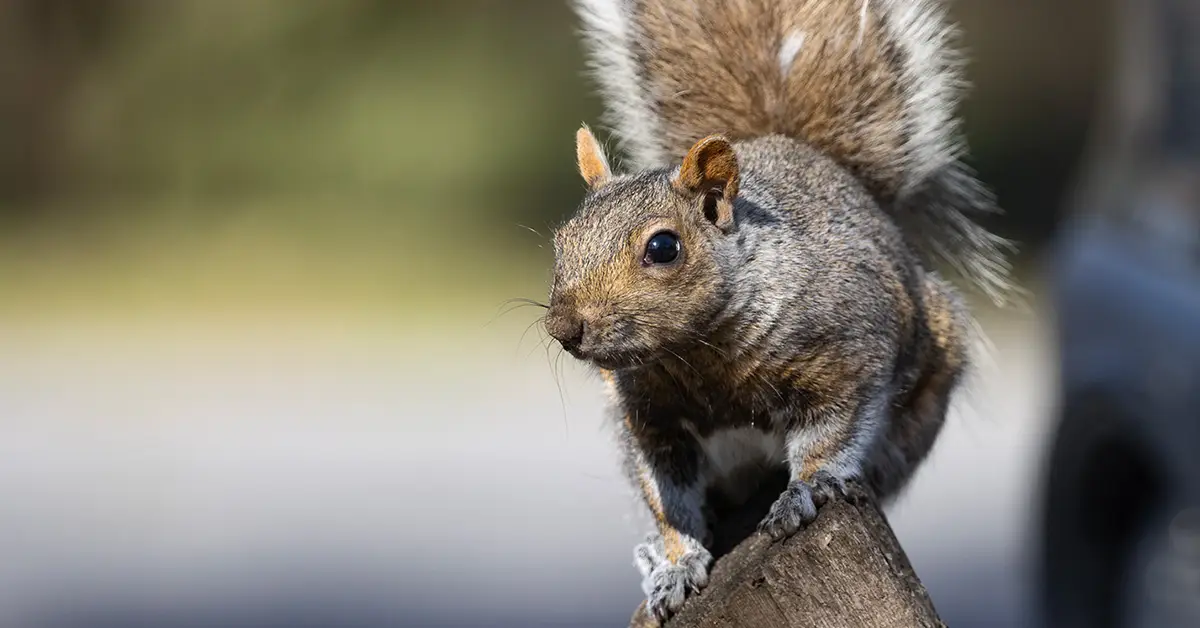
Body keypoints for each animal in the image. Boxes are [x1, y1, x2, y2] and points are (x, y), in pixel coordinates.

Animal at [542, 0, 1014, 621]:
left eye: (664, 247)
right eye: (561, 241)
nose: (563, 327)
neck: (696, 355)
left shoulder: (849, 353)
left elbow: (831, 432)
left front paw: (806, 490)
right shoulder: (647, 421)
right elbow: (670, 496)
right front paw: (674, 562)